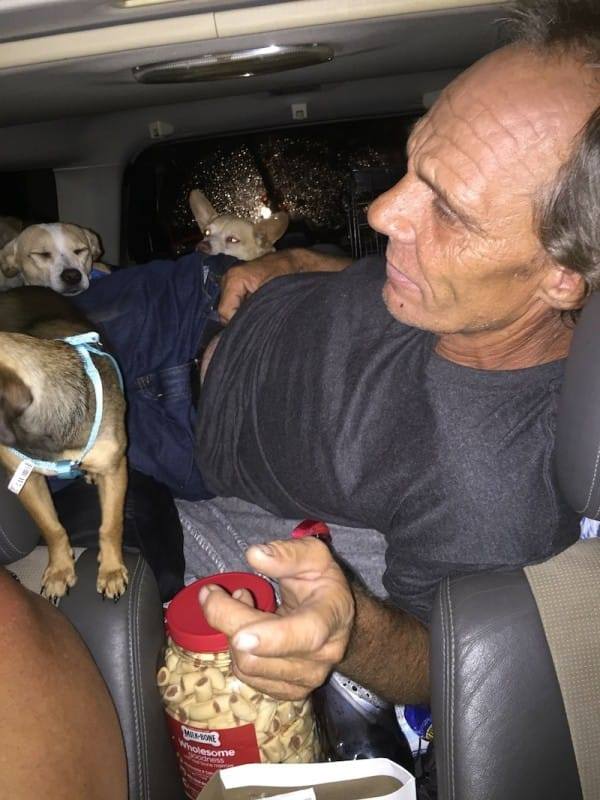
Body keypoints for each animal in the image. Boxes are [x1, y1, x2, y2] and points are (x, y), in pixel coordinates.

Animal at [0, 286, 127, 600]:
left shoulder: (115, 469)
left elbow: (111, 525)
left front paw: (111, 571)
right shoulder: (27, 481)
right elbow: (52, 527)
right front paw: (59, 571)